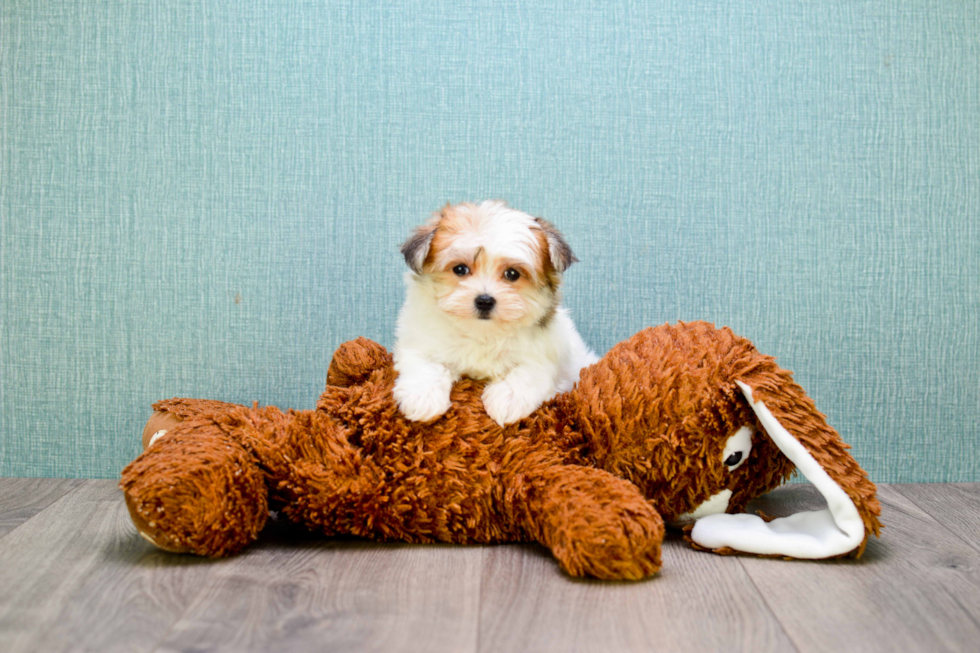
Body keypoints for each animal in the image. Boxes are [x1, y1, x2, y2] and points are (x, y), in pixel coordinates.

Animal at [392, 201, 596, 430]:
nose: (484, 300)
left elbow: (530, 372)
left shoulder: (546, 352)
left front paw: (508, 398)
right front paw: (422, 397)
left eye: (512, 274)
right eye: (460, 269)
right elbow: (425, 364)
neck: (483, 333)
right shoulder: (419, 341)